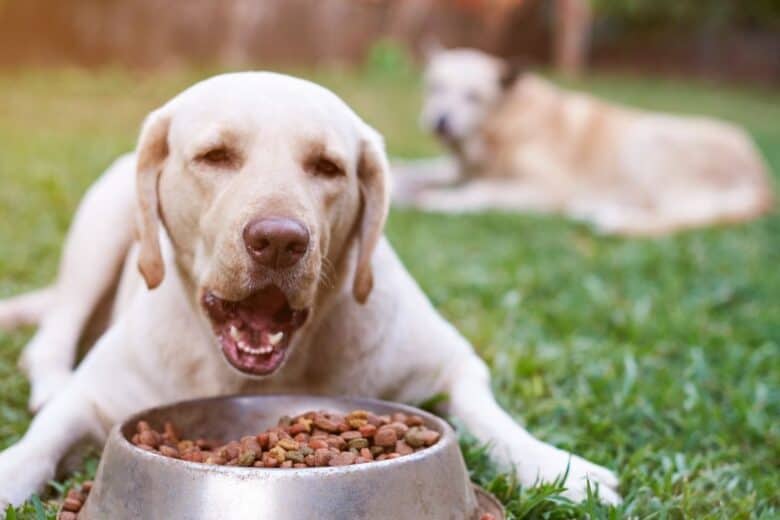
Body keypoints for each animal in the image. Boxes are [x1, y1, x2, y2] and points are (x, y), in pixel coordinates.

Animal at [396, 47, 772, 235]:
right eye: (434, 87)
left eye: (473, 97)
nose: (440, 120)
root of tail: (762, 176)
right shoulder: (460, 167)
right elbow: (419, 168)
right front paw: (402, 180)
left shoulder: (550, 186)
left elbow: (481, 191)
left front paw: (441, 200)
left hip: (648, 142)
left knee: (679, 215)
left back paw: (613, 218)